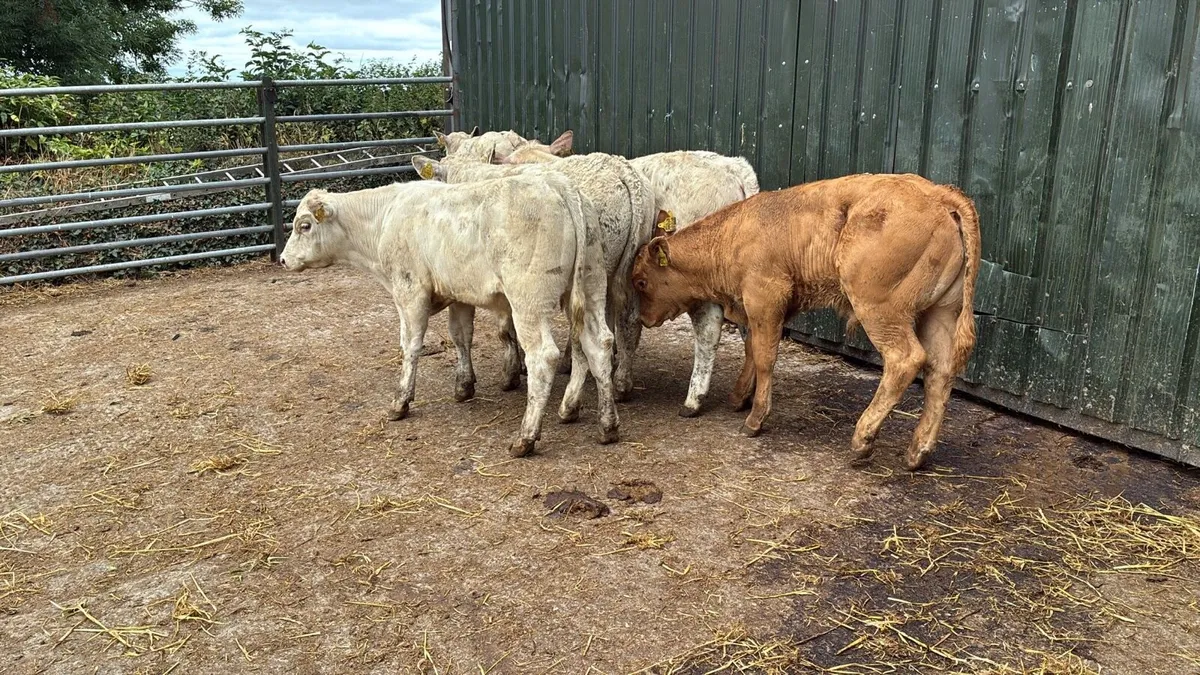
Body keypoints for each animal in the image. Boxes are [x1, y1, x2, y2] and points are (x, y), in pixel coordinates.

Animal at [279, 175, 620, 457]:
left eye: (304, 225)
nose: (282, 259)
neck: (386, 217)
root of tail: (559, 185)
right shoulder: (459, 295)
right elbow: (460, 337)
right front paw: (464, 386)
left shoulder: (410, 291)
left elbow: (410, 345)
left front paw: (401, 401)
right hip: (592, 287)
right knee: (598, 344)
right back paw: (603, 424)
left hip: (529, 302)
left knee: (543, 357)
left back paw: (525, 438)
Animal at [630, 173, 981, 470]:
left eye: (641, 282)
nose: (644, 318)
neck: (734, 233)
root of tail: (938, 193)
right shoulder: (764, 309)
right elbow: (752, 348)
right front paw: (739, 397)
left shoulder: (765, 298)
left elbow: (764, 357)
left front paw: (755, 419)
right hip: (940, 313)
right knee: (940, 371)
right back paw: (917, 452)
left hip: (881, 311)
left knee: (906, 360)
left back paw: (862, 439)